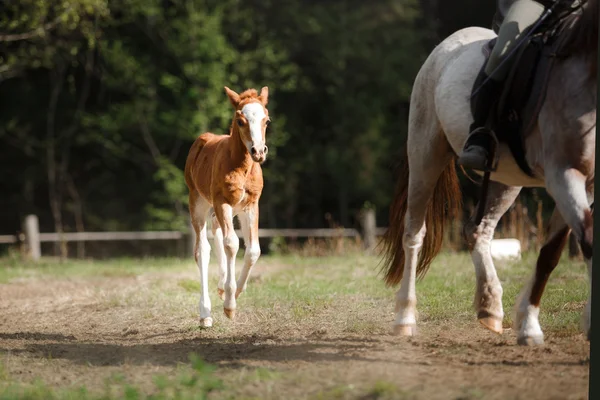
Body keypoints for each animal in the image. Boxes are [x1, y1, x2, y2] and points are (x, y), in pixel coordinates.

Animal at [184, 86, 270, 326]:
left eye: (266, 120)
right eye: (240, 121)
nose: (258, 152)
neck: (241, 166)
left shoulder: (251, 205)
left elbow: (253, 250)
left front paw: (236, 291)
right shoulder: (222, 201)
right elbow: (232, 244)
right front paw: (230, 306)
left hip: (230, 210)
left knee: (217, 230)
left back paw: (222, 286)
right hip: (199, 201)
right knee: (203, 249)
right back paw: (205, 314)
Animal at [382, 0, 596, 346]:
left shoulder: (586, 183)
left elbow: (552, 253)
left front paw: (529, 325)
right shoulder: (563, 174)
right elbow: (586, 240)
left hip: (504, 180)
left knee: (478, 230)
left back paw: (490, 308)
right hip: (425, 155)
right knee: (414, 233)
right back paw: (404, 317)